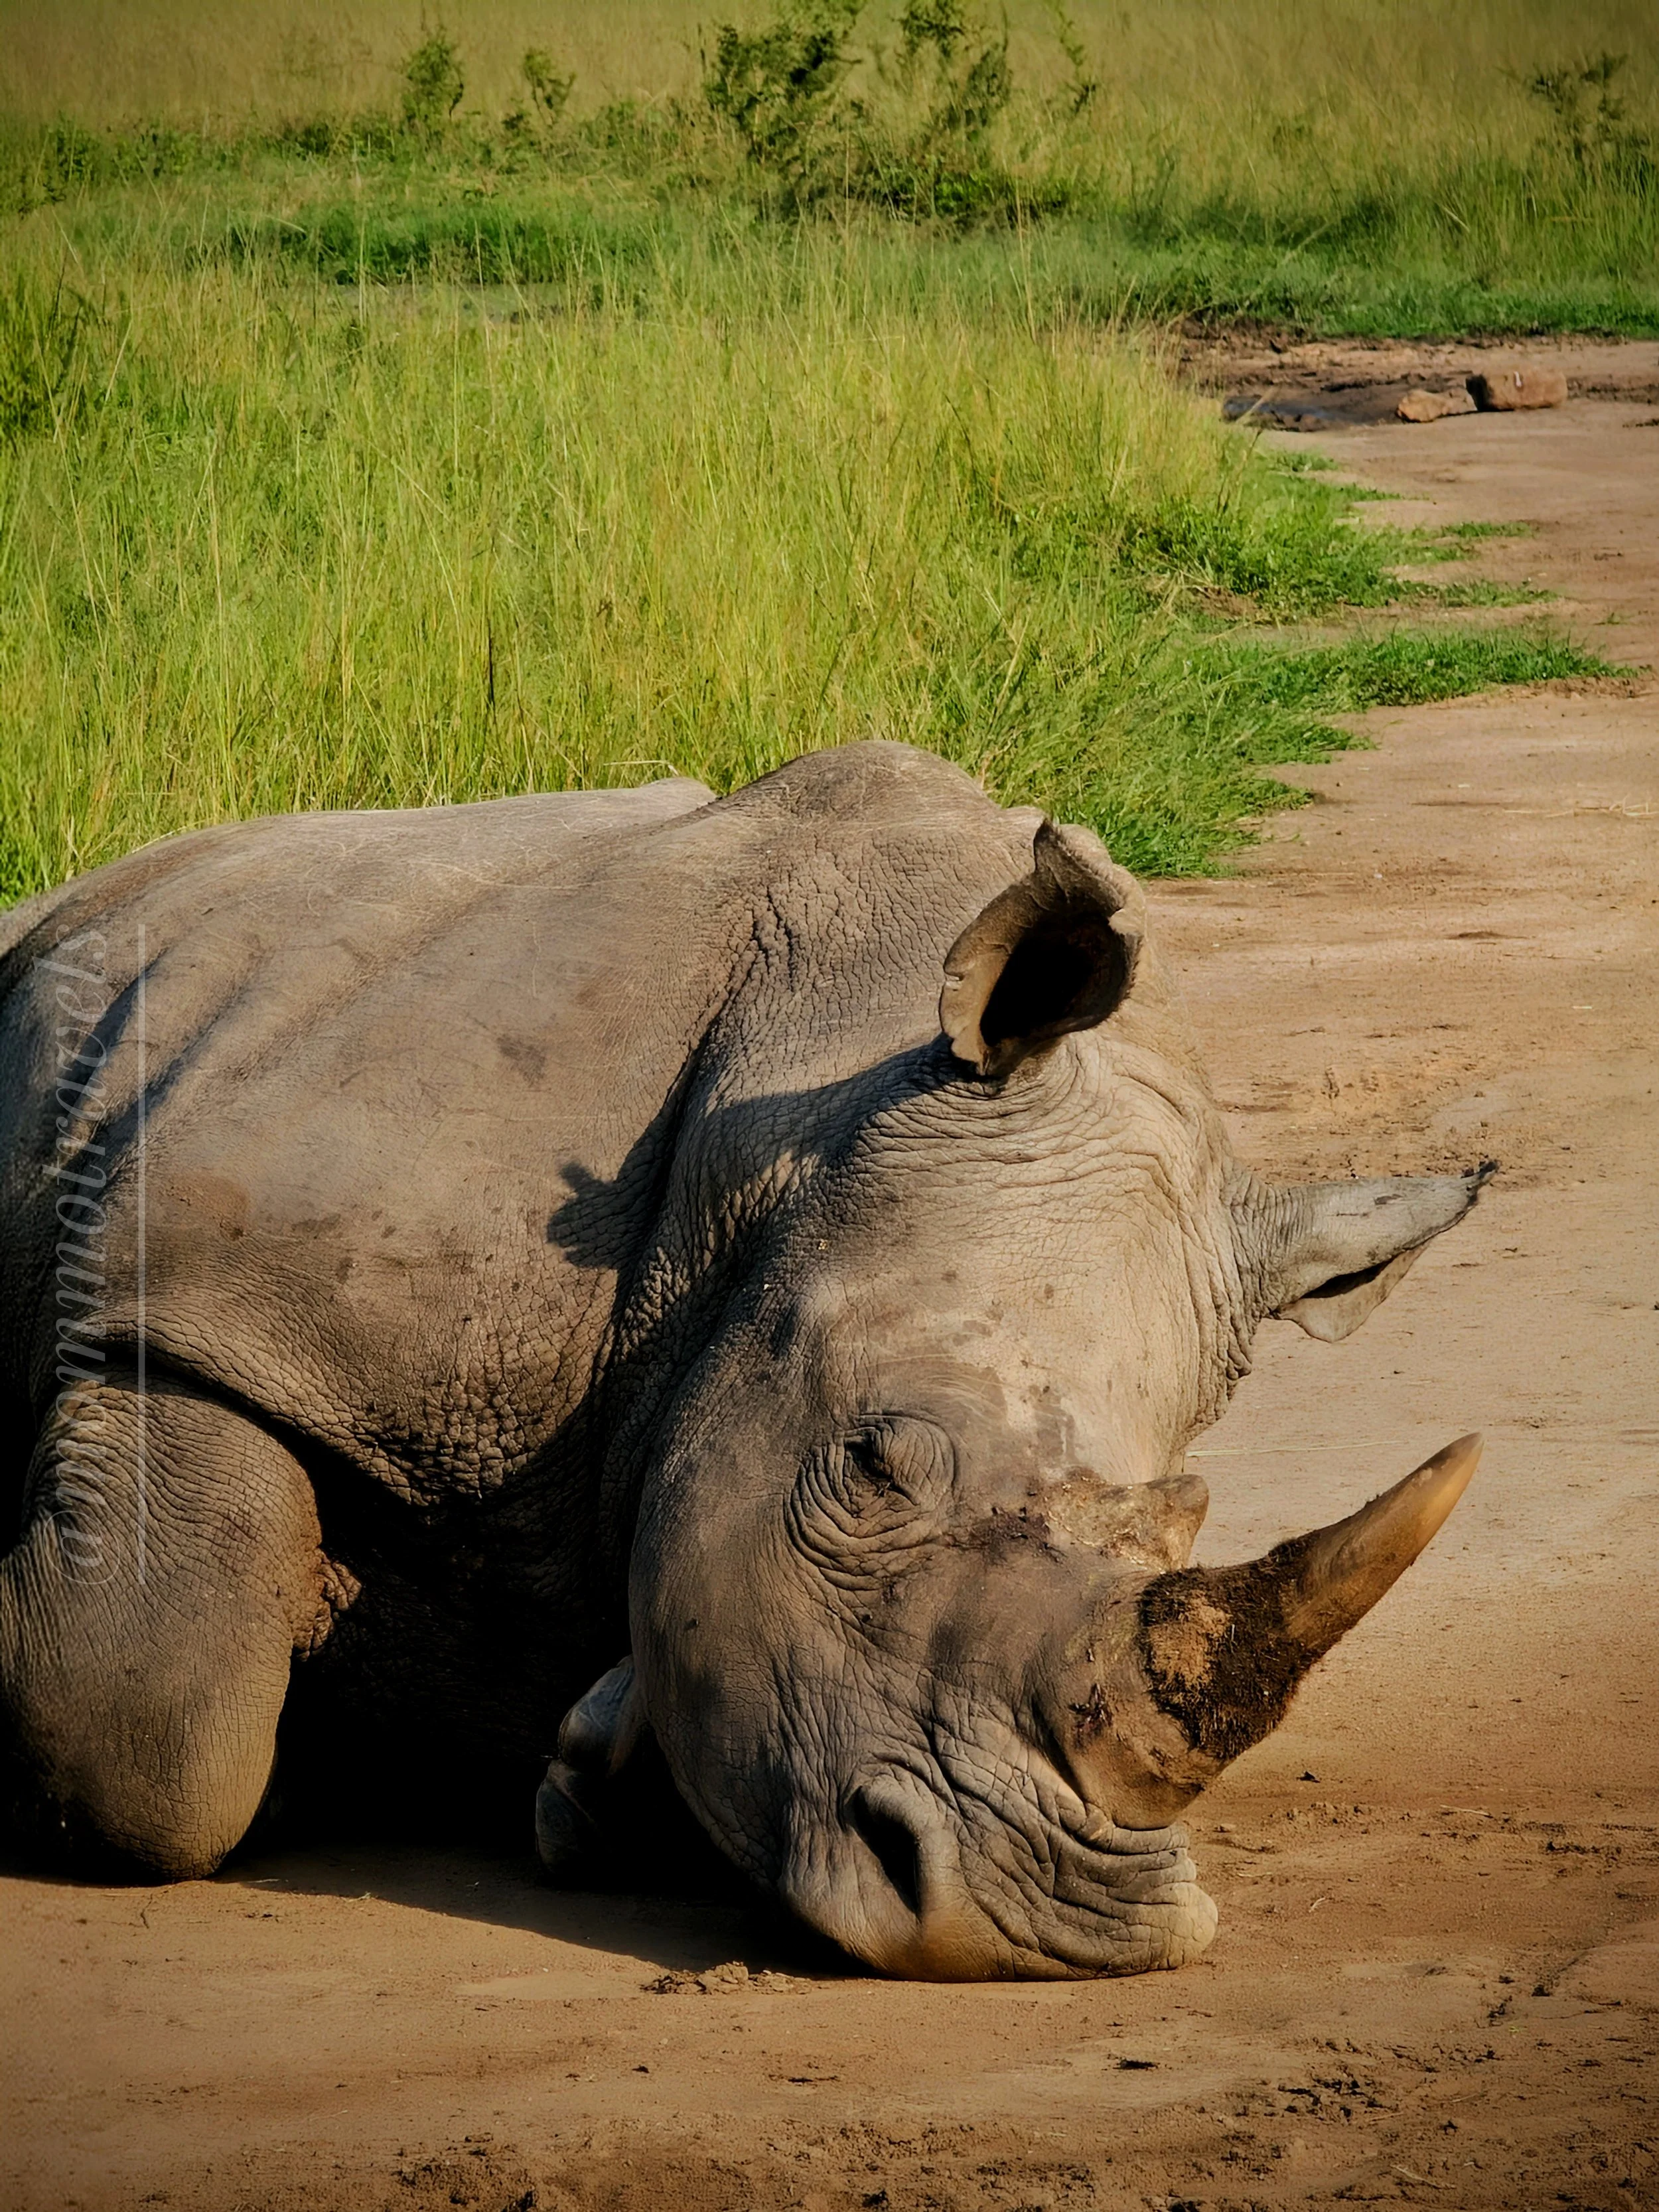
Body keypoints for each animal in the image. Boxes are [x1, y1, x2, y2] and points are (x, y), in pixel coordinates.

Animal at [0, 743, 1488, 1978]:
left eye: (1185, 1509)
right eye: (873, 1466)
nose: (1052, 1925)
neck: (798, 1132)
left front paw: (579, 1770)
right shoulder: (197, 1304)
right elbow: (150, 1720)